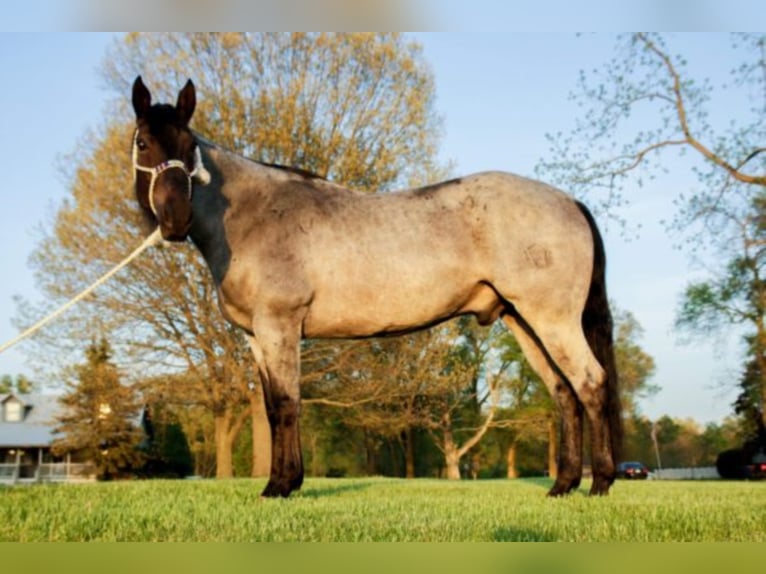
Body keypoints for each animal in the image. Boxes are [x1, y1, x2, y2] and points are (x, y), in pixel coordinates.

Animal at [130, 76, 624, 500]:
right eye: (143, 142)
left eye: (190, 147)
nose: (175, 221)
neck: (253, 215)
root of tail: (568, 200)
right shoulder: (257, 336)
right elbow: (272, 408)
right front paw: (286, 482)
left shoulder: (279, 326)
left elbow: (287, 404)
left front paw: (280, 486)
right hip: (524, 321)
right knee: (564, 392)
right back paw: (562, 486)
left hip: (553, 320)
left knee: (591, 383)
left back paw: (600, 482)